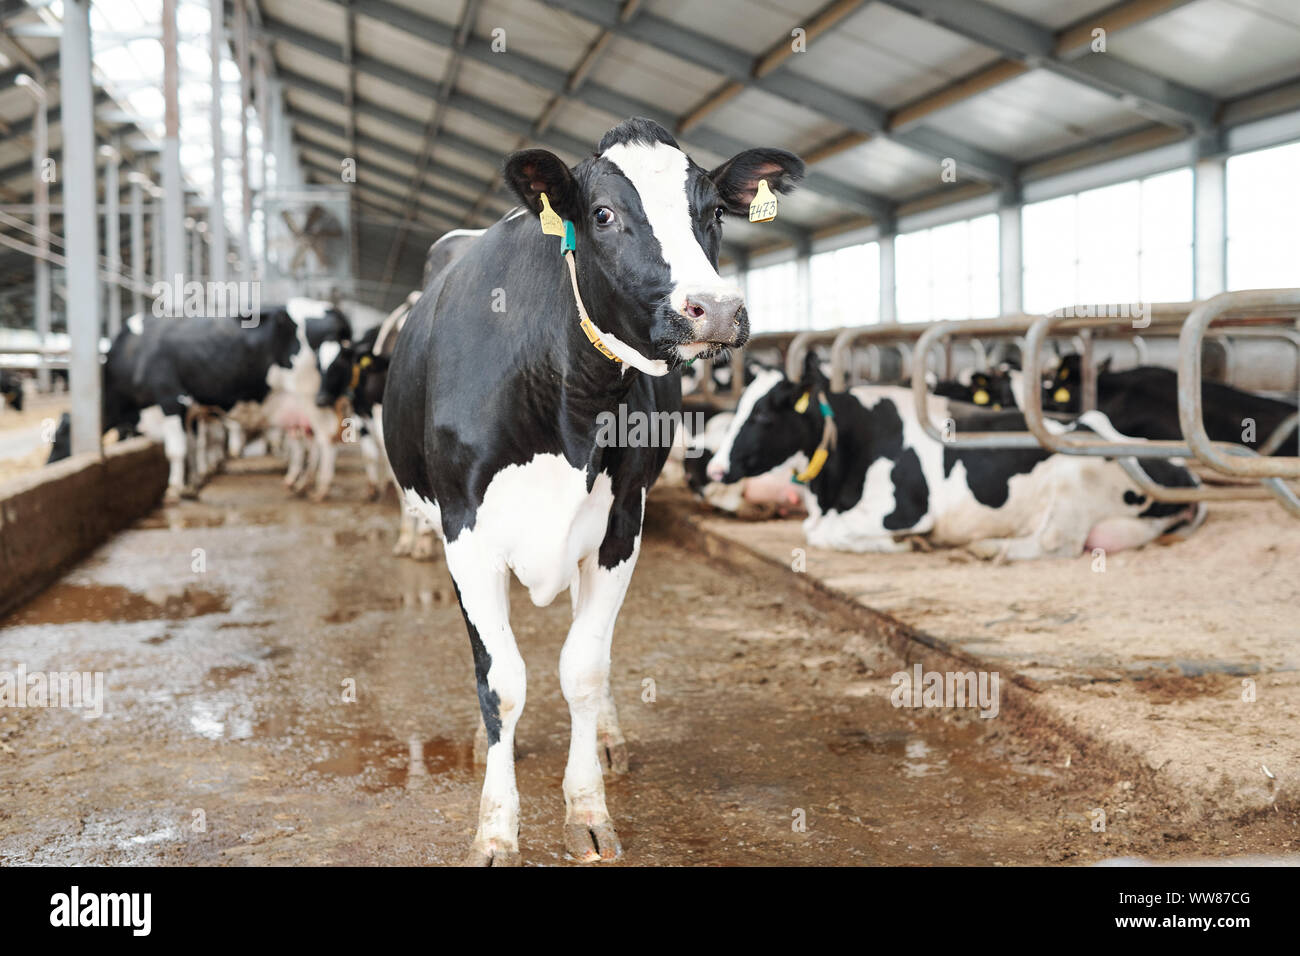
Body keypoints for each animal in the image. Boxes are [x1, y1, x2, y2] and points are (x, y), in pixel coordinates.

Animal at [383, 117, 803, 864]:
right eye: (603, 215)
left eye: (714, 212)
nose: (716, 310)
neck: (570, 401)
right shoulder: (466, 531)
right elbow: (501, 680)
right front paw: (496, 828)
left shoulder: (620, 524)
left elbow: (582, 668)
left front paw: (587, 810)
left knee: (590, 646)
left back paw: (607, 737)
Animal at [707, 355, 1206, 560]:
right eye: (739, 407)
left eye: (764, 415)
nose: (713, 467)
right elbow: (814, 531)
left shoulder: (902, 510)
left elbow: (825, 535)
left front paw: (910, 544)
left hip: (1075, 476)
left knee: (1054, 543)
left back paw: (987, 549)